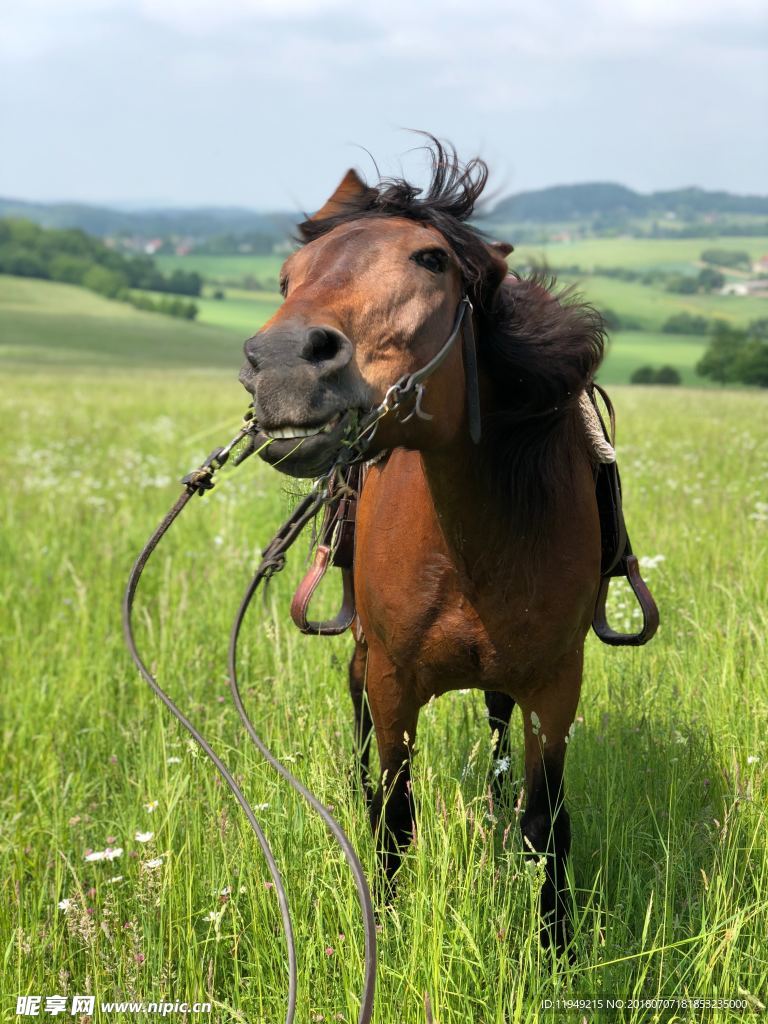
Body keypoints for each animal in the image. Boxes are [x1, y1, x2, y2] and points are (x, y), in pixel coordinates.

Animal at [237, 142, 610, 950]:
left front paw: (557, 948)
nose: (280, 365)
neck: (475, 543)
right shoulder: (393, 679)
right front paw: (388, 926)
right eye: (288, 275)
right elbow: (396, 817)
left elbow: (548, 822)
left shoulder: (555, 684)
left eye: (432, 258)